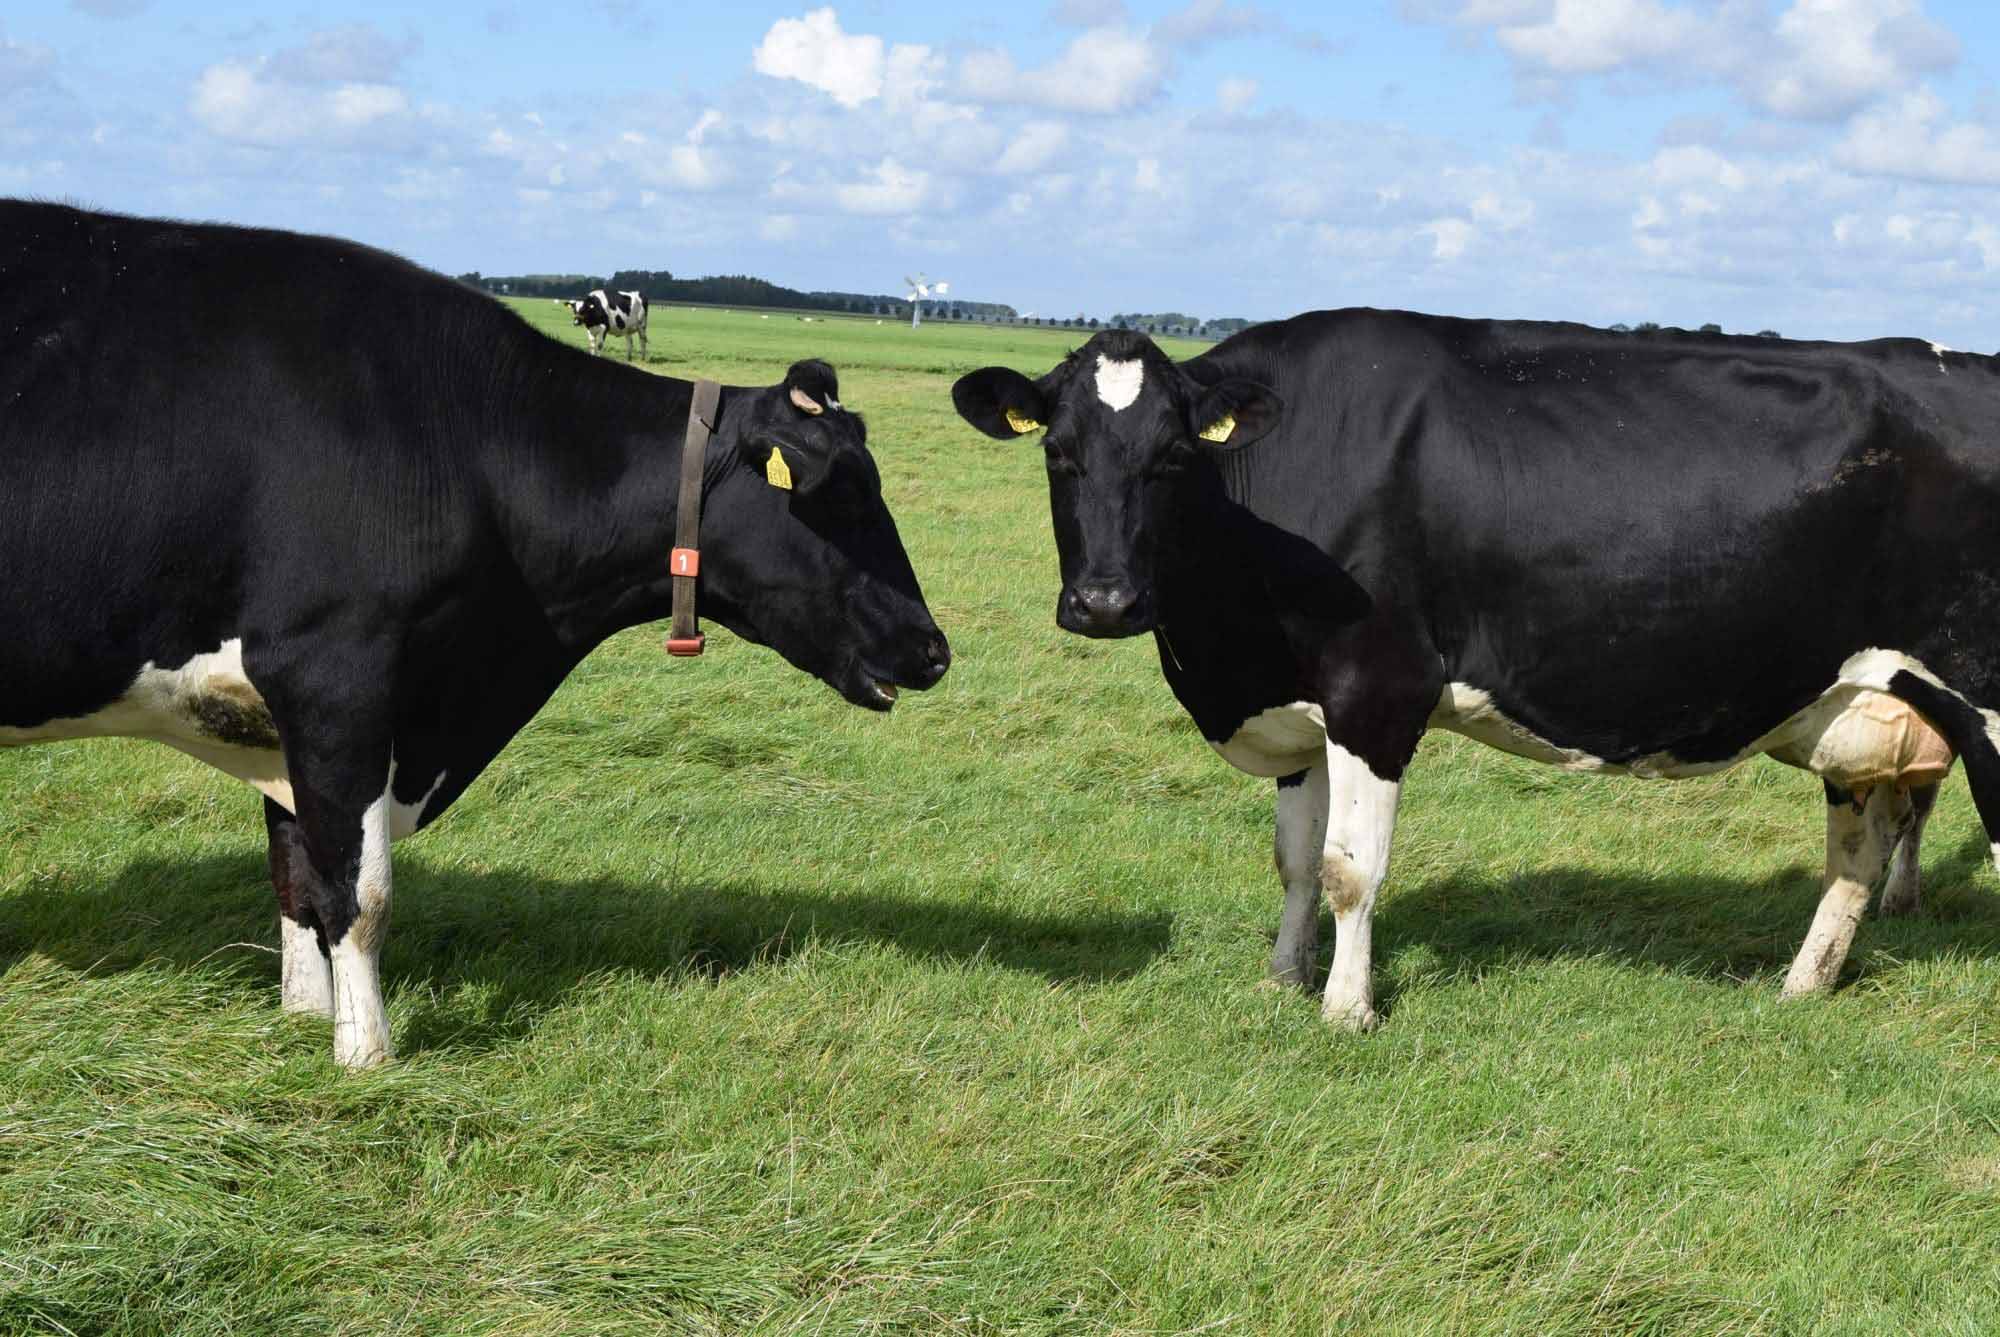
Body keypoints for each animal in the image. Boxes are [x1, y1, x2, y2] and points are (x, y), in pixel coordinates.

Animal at [1, 201, 950, 1068]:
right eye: (843, 492)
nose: (934, 647)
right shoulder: (334, 674)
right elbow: (358, 894)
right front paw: (365, 1057)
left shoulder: (287, 712)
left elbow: (297, 876)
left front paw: (305, 1021)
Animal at [952, 314, 2000, 1030]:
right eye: (1057, 452)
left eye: (1172, 456)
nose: (1104, 602)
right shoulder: (1304, 705)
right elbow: (1294, 858)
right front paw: (1284, 978)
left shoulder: (1377, 690)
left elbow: (1349, 868)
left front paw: (1346, 1009)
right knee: (1856, 859)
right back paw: (1798, 989)